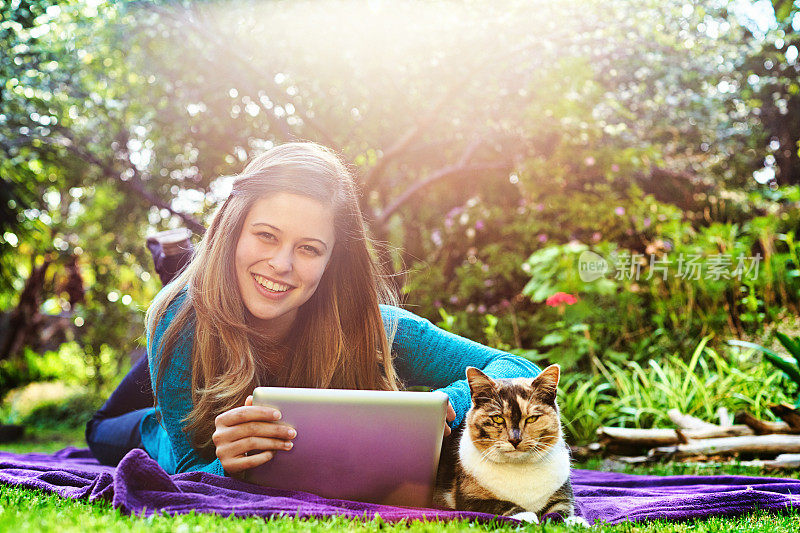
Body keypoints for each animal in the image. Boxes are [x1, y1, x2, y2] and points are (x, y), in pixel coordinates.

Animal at [434, 366, 584, 524]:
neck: (519, 468)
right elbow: (500, 504)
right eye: (498, 418)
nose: (515, 439)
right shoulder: (469, 498)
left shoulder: (562, 496)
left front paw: (575, 522)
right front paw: (527, 516)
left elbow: (560, 512)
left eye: (532, 418)